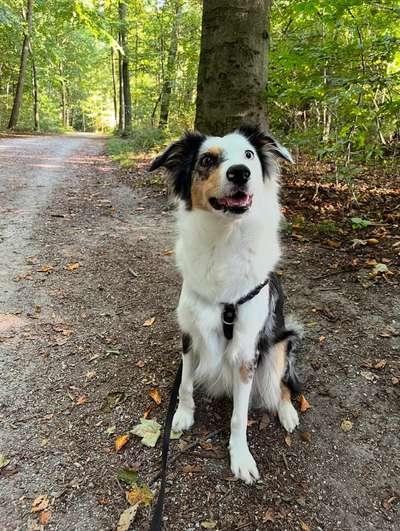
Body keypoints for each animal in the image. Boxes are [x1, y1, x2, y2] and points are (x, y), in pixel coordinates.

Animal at [149, 125, 300, 486]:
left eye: (248, 155)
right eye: (206, 160)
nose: (240, 173)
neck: (225, 238)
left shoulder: (246, 353)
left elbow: (239, 417)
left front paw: (240, 457)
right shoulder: (190, 335)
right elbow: (185, 384)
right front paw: (182, 415)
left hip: (281, 344)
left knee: (282, 386)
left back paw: (288, 412)